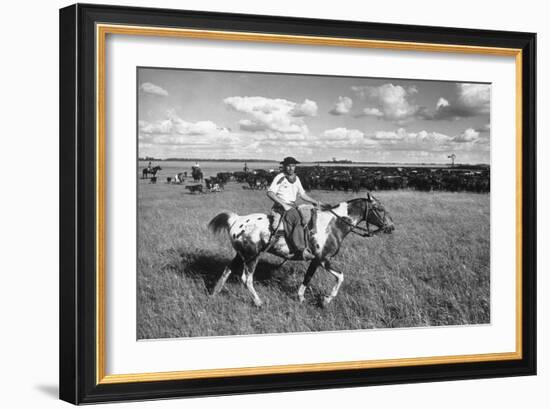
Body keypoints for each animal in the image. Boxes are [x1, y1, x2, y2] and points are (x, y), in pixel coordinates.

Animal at [209, 194, 394, 306]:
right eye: (380, 209)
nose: (391, 227)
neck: (333, 224)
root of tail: (236, 220)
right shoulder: (324, 259)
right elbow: (340, 277)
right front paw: (326, 300)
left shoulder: (316, 260)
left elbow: (308, 277)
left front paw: (300, 297)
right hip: (251, 257)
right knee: (246, 279)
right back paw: (259, 302)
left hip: (241, 255)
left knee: (227, 270)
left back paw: (214, 293)